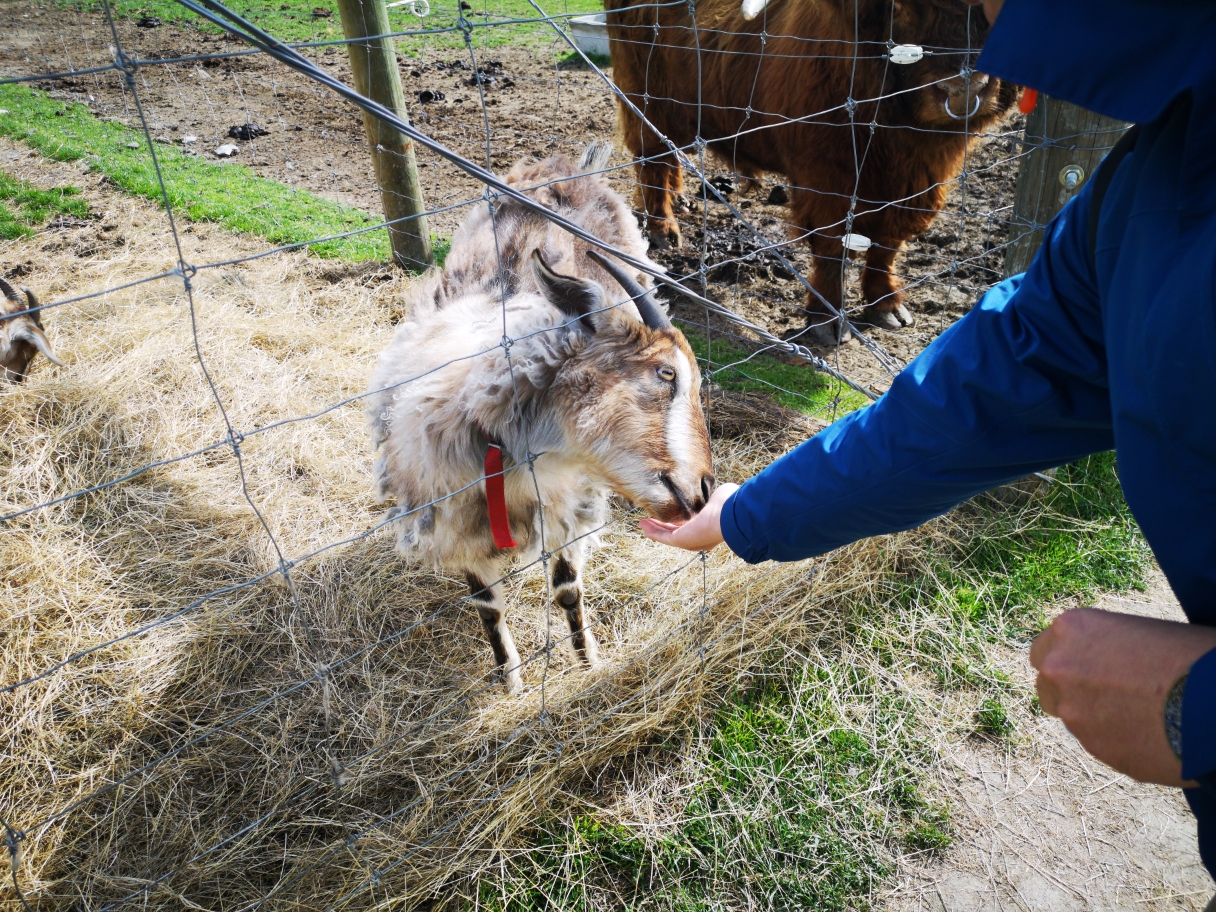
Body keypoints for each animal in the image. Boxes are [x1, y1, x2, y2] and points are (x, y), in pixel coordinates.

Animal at [364, 142, 715, 690]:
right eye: (666, 373)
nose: (703, 490)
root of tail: (575, 167)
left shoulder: (572, 502)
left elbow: (567, 587)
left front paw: (588, 662)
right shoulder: (456, 524)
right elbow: (487, 605)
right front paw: (510, 680)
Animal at [608, 0, 1016, 342]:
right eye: (898, 7)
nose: (963, 90)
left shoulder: (919, 183)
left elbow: (887, 244)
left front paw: (886, 305)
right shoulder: (827, 177)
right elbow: (833, 246)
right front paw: (828, 321)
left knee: (668, 158)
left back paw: (679, 200)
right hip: (647, 99)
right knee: (653, 159)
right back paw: (662, 229)